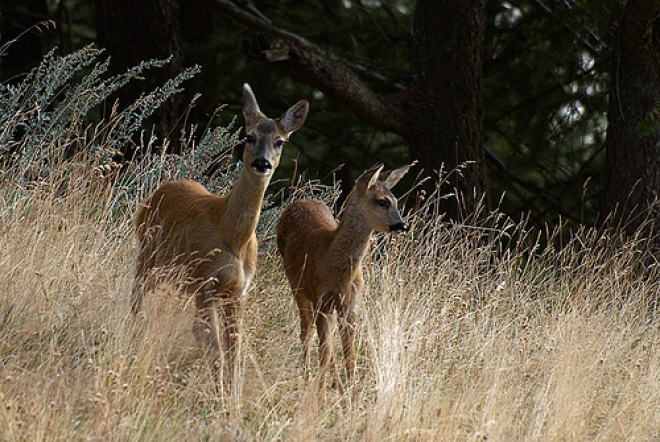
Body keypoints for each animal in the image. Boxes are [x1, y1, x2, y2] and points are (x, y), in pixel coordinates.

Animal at [133, 83, 310, 386]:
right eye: (249, 136)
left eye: (280, 141)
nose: (262, 163)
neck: (234, 238)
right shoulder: (206, 283)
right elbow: (214, 349)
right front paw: (221, 397)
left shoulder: (237, 292)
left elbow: (233, 354)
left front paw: (232, 394)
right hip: (147, 255)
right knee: (136, 299)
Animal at [274, 161, 410, 398]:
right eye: (382, 201)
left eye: (394, 200)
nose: (402, 226)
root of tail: (299, 201)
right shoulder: (322, 300)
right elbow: (326, 350)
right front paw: (326, 392)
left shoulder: (351, 304)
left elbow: (349, 353)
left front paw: (351, 389)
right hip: (297, 287)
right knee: (306, 332)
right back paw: (308, 375)